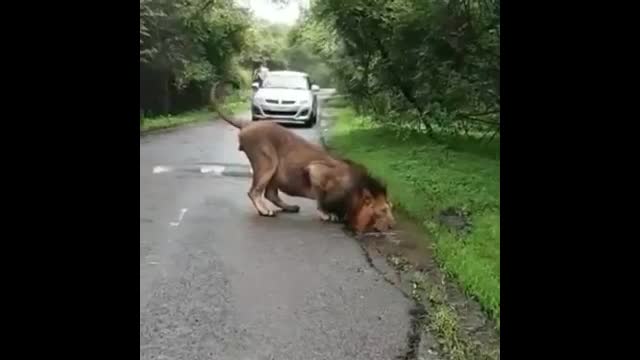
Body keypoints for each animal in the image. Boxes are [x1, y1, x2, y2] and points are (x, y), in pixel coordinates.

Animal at [210, 81, 396, 233]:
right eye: (383, 211)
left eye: (390, 208)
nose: (393, 225)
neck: (354, 193)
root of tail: (248, 123)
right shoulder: (316, 170)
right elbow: (321, 200)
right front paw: (327, 215)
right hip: (267, 161)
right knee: (254, 191)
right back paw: (265, 211)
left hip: (274, 169)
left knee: (270, 193)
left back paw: (289, 207)